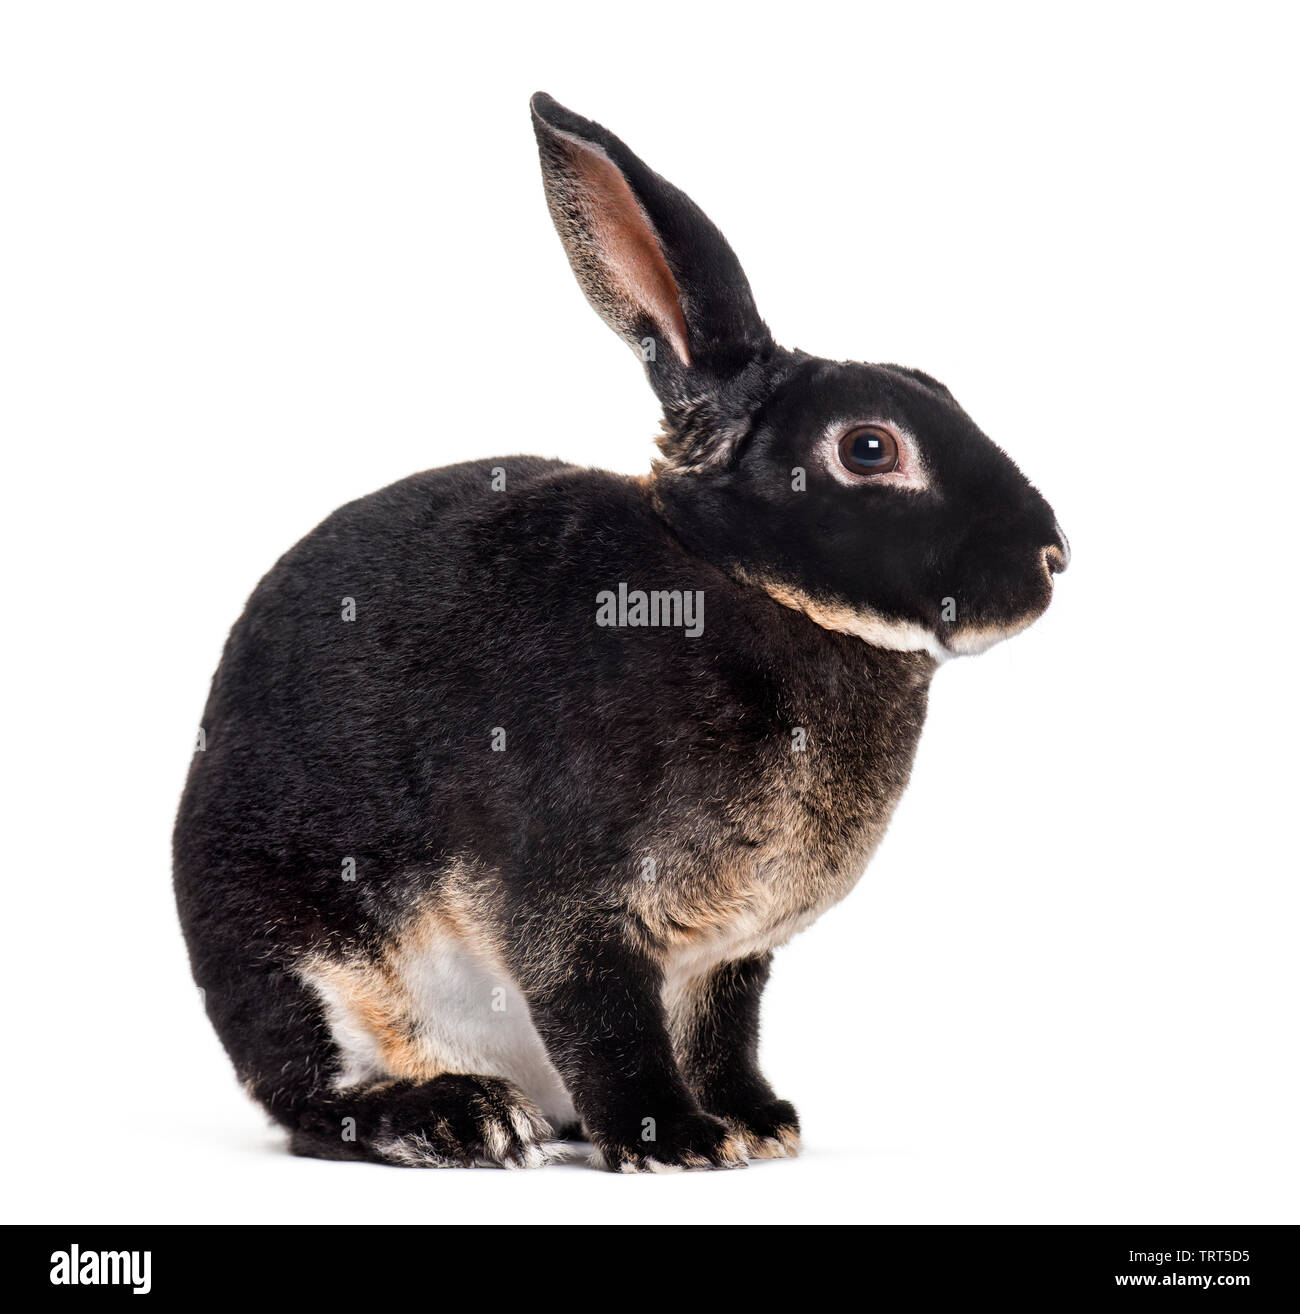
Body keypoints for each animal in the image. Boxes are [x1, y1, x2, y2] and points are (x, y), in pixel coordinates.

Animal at [173, 92, 1068, 1173]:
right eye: (867, 448)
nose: (1051, 558)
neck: (745, 586)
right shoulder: (573, 909)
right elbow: (604, 1020)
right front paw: (674, 1140)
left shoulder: (728, 956)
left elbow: (723, 1032)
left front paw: (759, 1124)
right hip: (292, 945)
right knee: (316, 1097)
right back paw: (460, 1115)